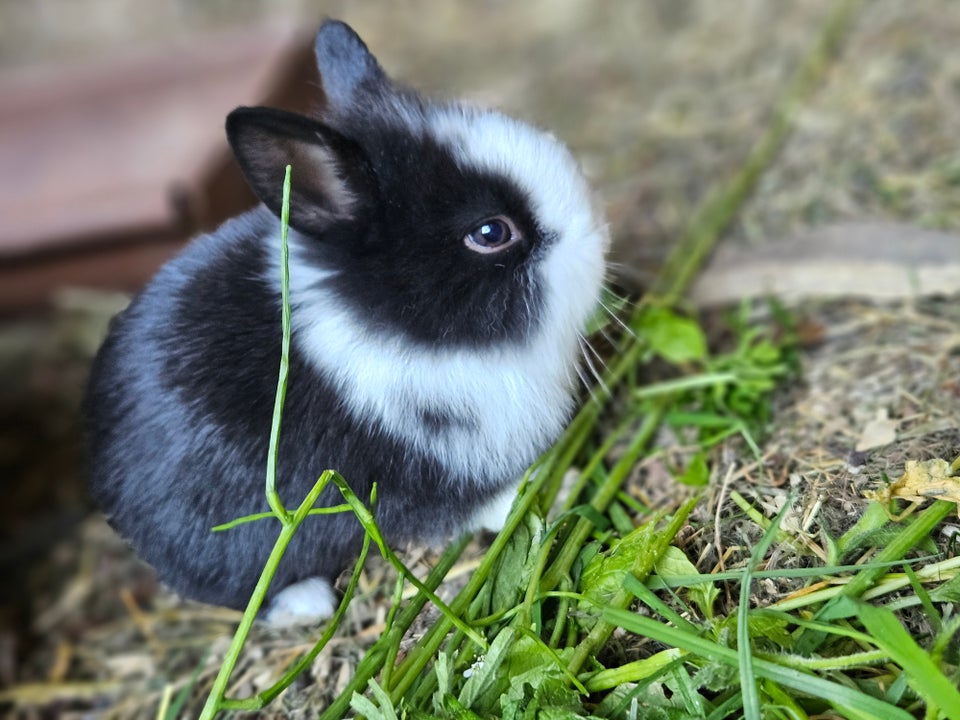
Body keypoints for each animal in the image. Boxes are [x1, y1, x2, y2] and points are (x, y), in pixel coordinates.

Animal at [82, 19, 608, 620]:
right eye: (491, 232)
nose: (600, 240)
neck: (398, 327)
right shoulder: (419, 477)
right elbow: (473, 505)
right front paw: (555, 484)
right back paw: (307, 603)